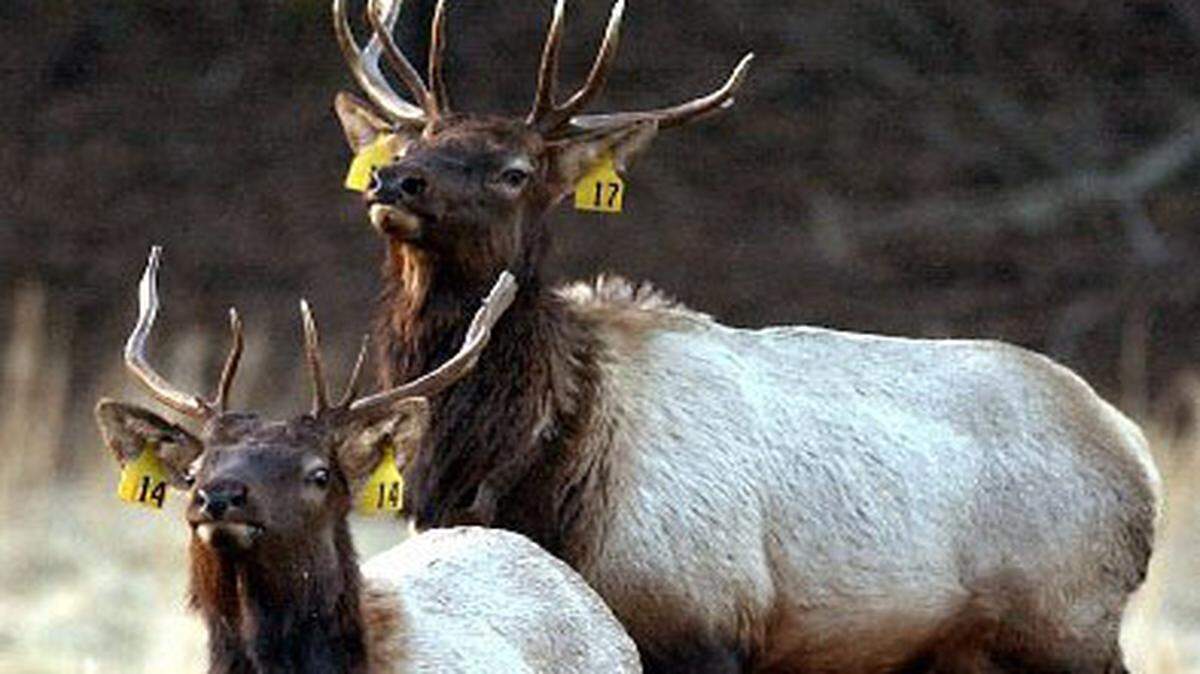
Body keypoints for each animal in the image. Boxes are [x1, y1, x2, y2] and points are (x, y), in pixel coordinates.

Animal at [329, 1, 1162, 672]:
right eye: (409, 144)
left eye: (515, 171)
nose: (394, 182)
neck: (537, 456)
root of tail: (1136, 453)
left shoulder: (702, 622)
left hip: (1067, 625)